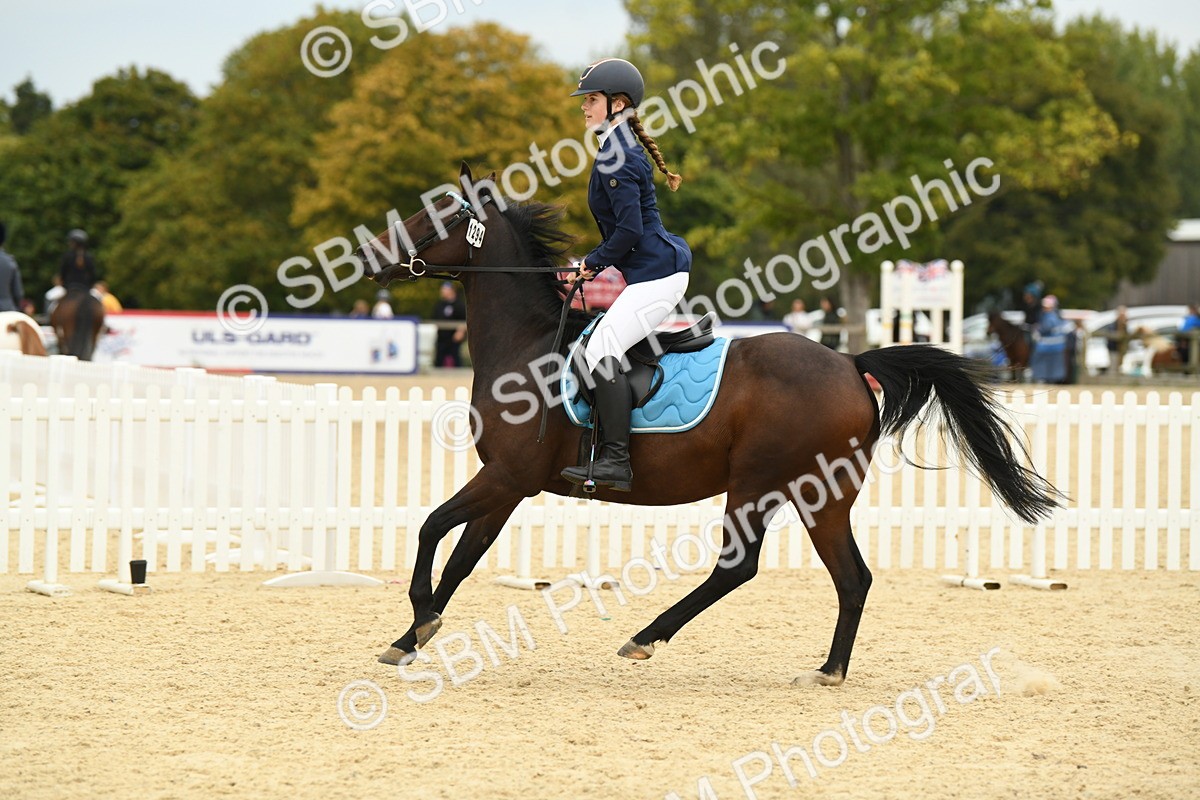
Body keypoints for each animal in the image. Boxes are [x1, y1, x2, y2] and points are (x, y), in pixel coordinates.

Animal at [357, 163, 1062, 686]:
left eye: (439, 217)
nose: (369, 256)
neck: (526, 343)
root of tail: (849, 363)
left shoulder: (507, 475)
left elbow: (431, 529)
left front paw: (418, 623)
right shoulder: (508, 485)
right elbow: (461, 558)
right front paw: (411, 638)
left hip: (757, 482)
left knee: (738, 566)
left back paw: (645, 638)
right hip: (820, 496)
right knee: (850, 577)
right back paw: (828, 670)